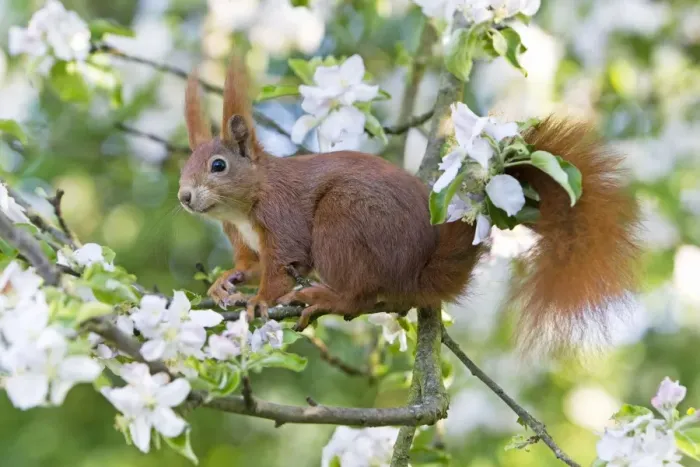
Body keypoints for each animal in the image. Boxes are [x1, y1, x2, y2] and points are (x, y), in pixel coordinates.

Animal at [178, 58, 640, 353]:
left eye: (218, 165)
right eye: (185, 167)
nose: (184, 196)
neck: (245, 205)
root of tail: (415, 275)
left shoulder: (282, 215)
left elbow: (281, 264)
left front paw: (260, 300)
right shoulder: (243, 236)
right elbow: (251, 264)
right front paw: (226, 280)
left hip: (343, 220)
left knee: (361, 296)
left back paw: (332, 298)